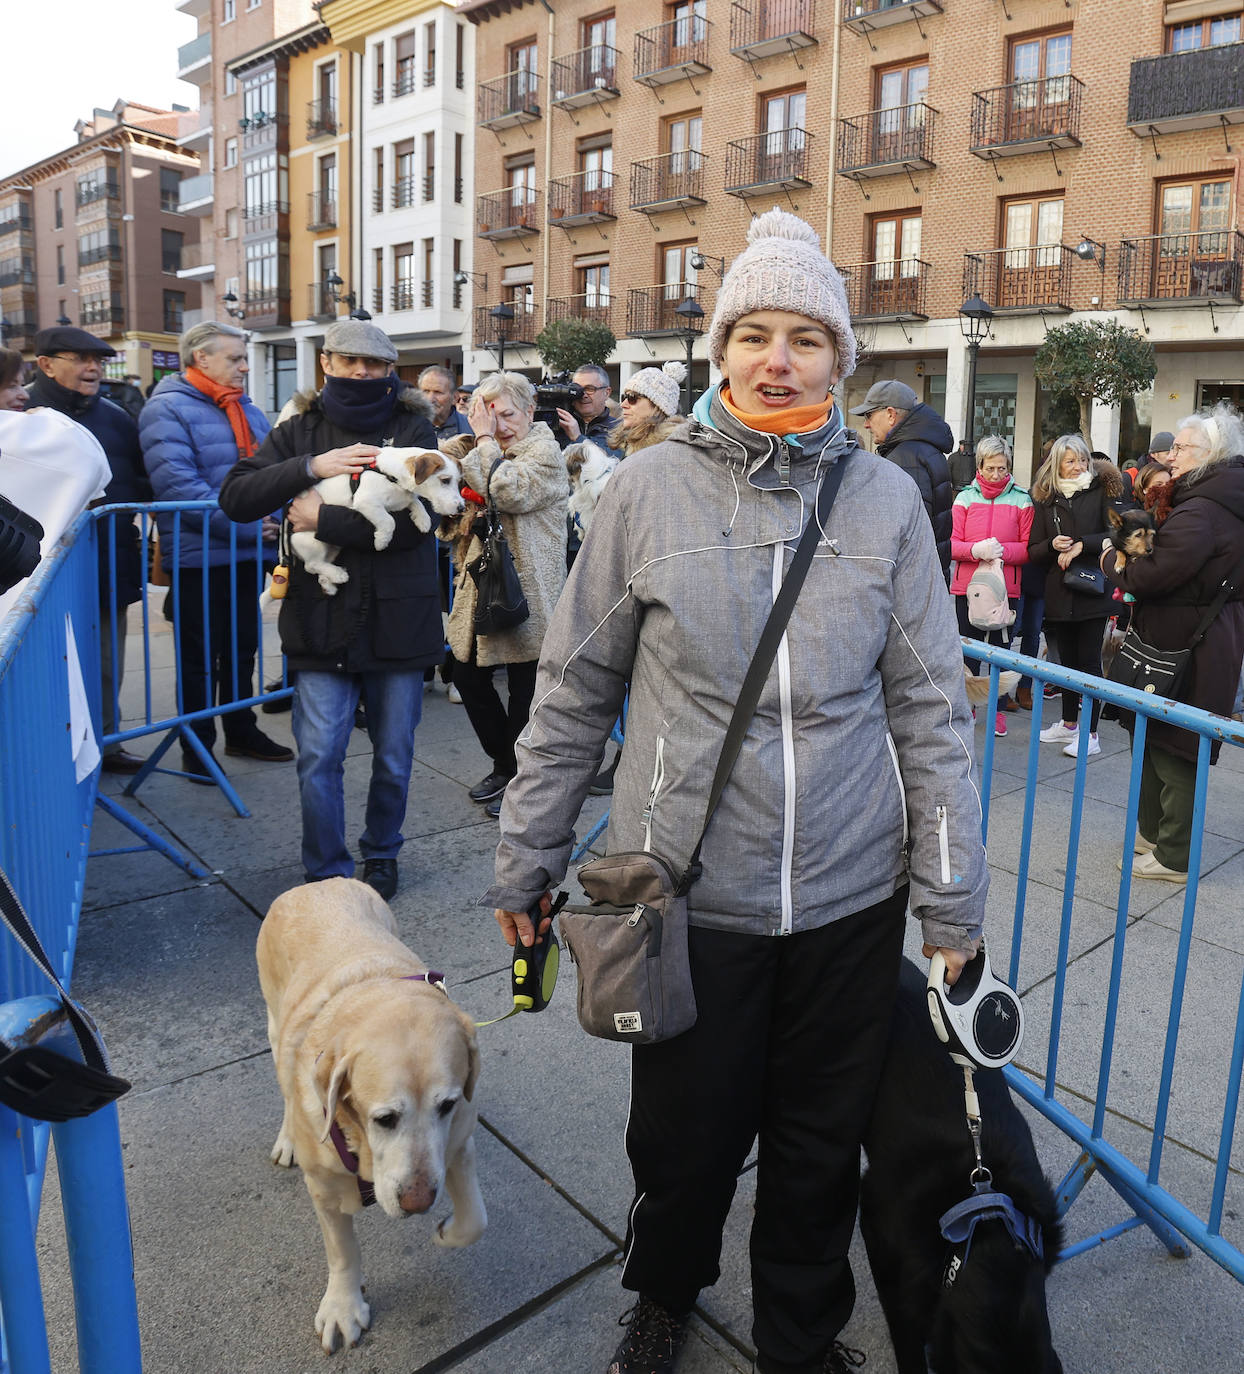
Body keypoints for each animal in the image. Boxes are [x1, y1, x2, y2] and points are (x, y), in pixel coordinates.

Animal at [257, 879, 486, 1352]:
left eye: (447, 1106)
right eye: (384, 1118)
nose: (418, 1203)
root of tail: (315, 883)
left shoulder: (458, 1143)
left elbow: (476, 1218)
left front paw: (448, 1231)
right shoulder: (323, 1187)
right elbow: (343, 1250)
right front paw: (343, 1307)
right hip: (272, 1025)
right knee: (284, 1085)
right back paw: (287, 1138)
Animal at [294, 447, 464, 593]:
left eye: (458, 482)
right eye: (445, 480)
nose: (461, 508)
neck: (392, 476)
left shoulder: (400, 500)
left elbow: (415, 502)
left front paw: (423, 519)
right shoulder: (366, 501)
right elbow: (389, 521)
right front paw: (382, 540)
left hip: (333, 548)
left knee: (319, 565)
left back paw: (328, 582)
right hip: (313, 542)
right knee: (311, 565)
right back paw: (337, 574)